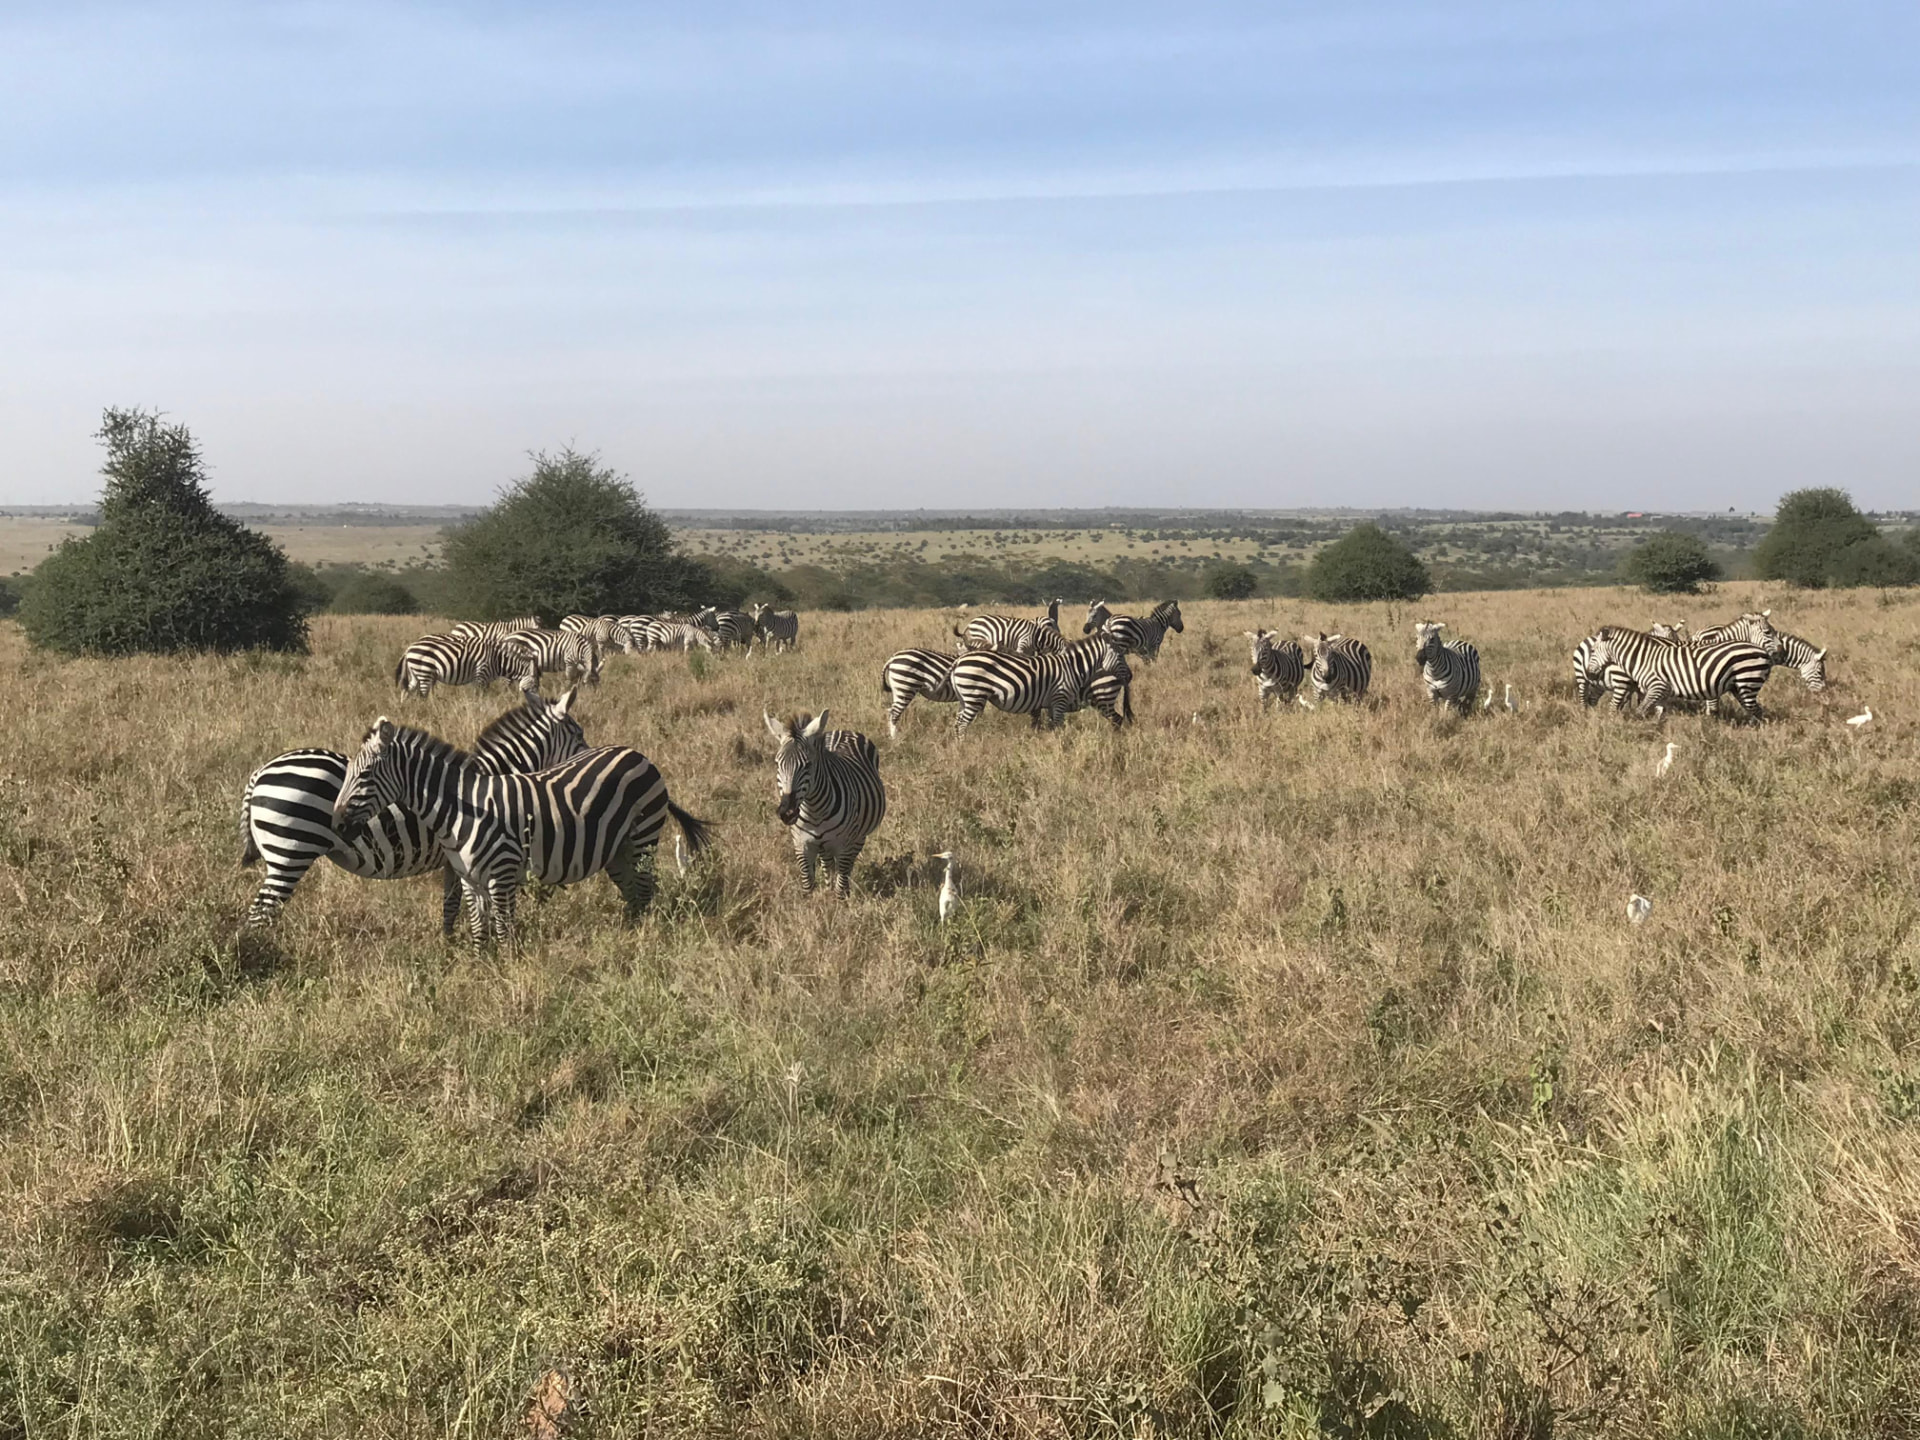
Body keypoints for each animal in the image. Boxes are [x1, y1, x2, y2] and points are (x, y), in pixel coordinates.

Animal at [239, 687, 587, 930]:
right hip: (290, 853)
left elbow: (451, 906)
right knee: (259, 913)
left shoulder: (456, 860)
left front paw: (448, 945)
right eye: (579, 734)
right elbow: (456, 905)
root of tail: (261, 771)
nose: (589, 756)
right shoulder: (461, 857)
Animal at [332, 722, 711, 949]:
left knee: (646, 887)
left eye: (364, 774)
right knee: (634, 892)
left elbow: (503, 929)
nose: (336, 824)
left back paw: (643, 940)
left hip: (644, 832)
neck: (459, 810)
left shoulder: (502, 873)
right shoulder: (469, 877)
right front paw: (481, 967)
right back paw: (629, 936)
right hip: (617, 848)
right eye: (348, 772)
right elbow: (478, 926)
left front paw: (508, 967)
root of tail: (636, 754)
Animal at [763, 710, 886, 898]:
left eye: (808, 764)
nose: (787, 813)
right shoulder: (801, 845)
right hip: (823, 845)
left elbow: (841, 886)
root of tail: (844, 730)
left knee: (848, 864)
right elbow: (808, 885)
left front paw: (839, 902)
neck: (814, 810)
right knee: (827, 864)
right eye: (777, 764)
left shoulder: (844, 846)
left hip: (859, 836)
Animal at [949, 635, 1130, 733]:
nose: (1130, 676)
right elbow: (1054, 726)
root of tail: (959, 663)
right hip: (973, 695)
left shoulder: (1050, 703)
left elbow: (1047, 726)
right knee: (961, 723)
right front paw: (1057, 746)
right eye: (1120, 656)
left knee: (1117, 719)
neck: (1072, 667)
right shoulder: (1058, 699)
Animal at [1587, 626, 1773, 721]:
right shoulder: (1662, 693)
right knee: (1755, 711)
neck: (1643, 659)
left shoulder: (1657, 687)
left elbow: (1640, 711)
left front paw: (1636, 729)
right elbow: (1660, 714)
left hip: (1748, 682)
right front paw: (1658, 733)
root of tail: (1764, 652)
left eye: (1593, 650)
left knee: (1757, 712)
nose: (1589, 675)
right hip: (1739, 687)